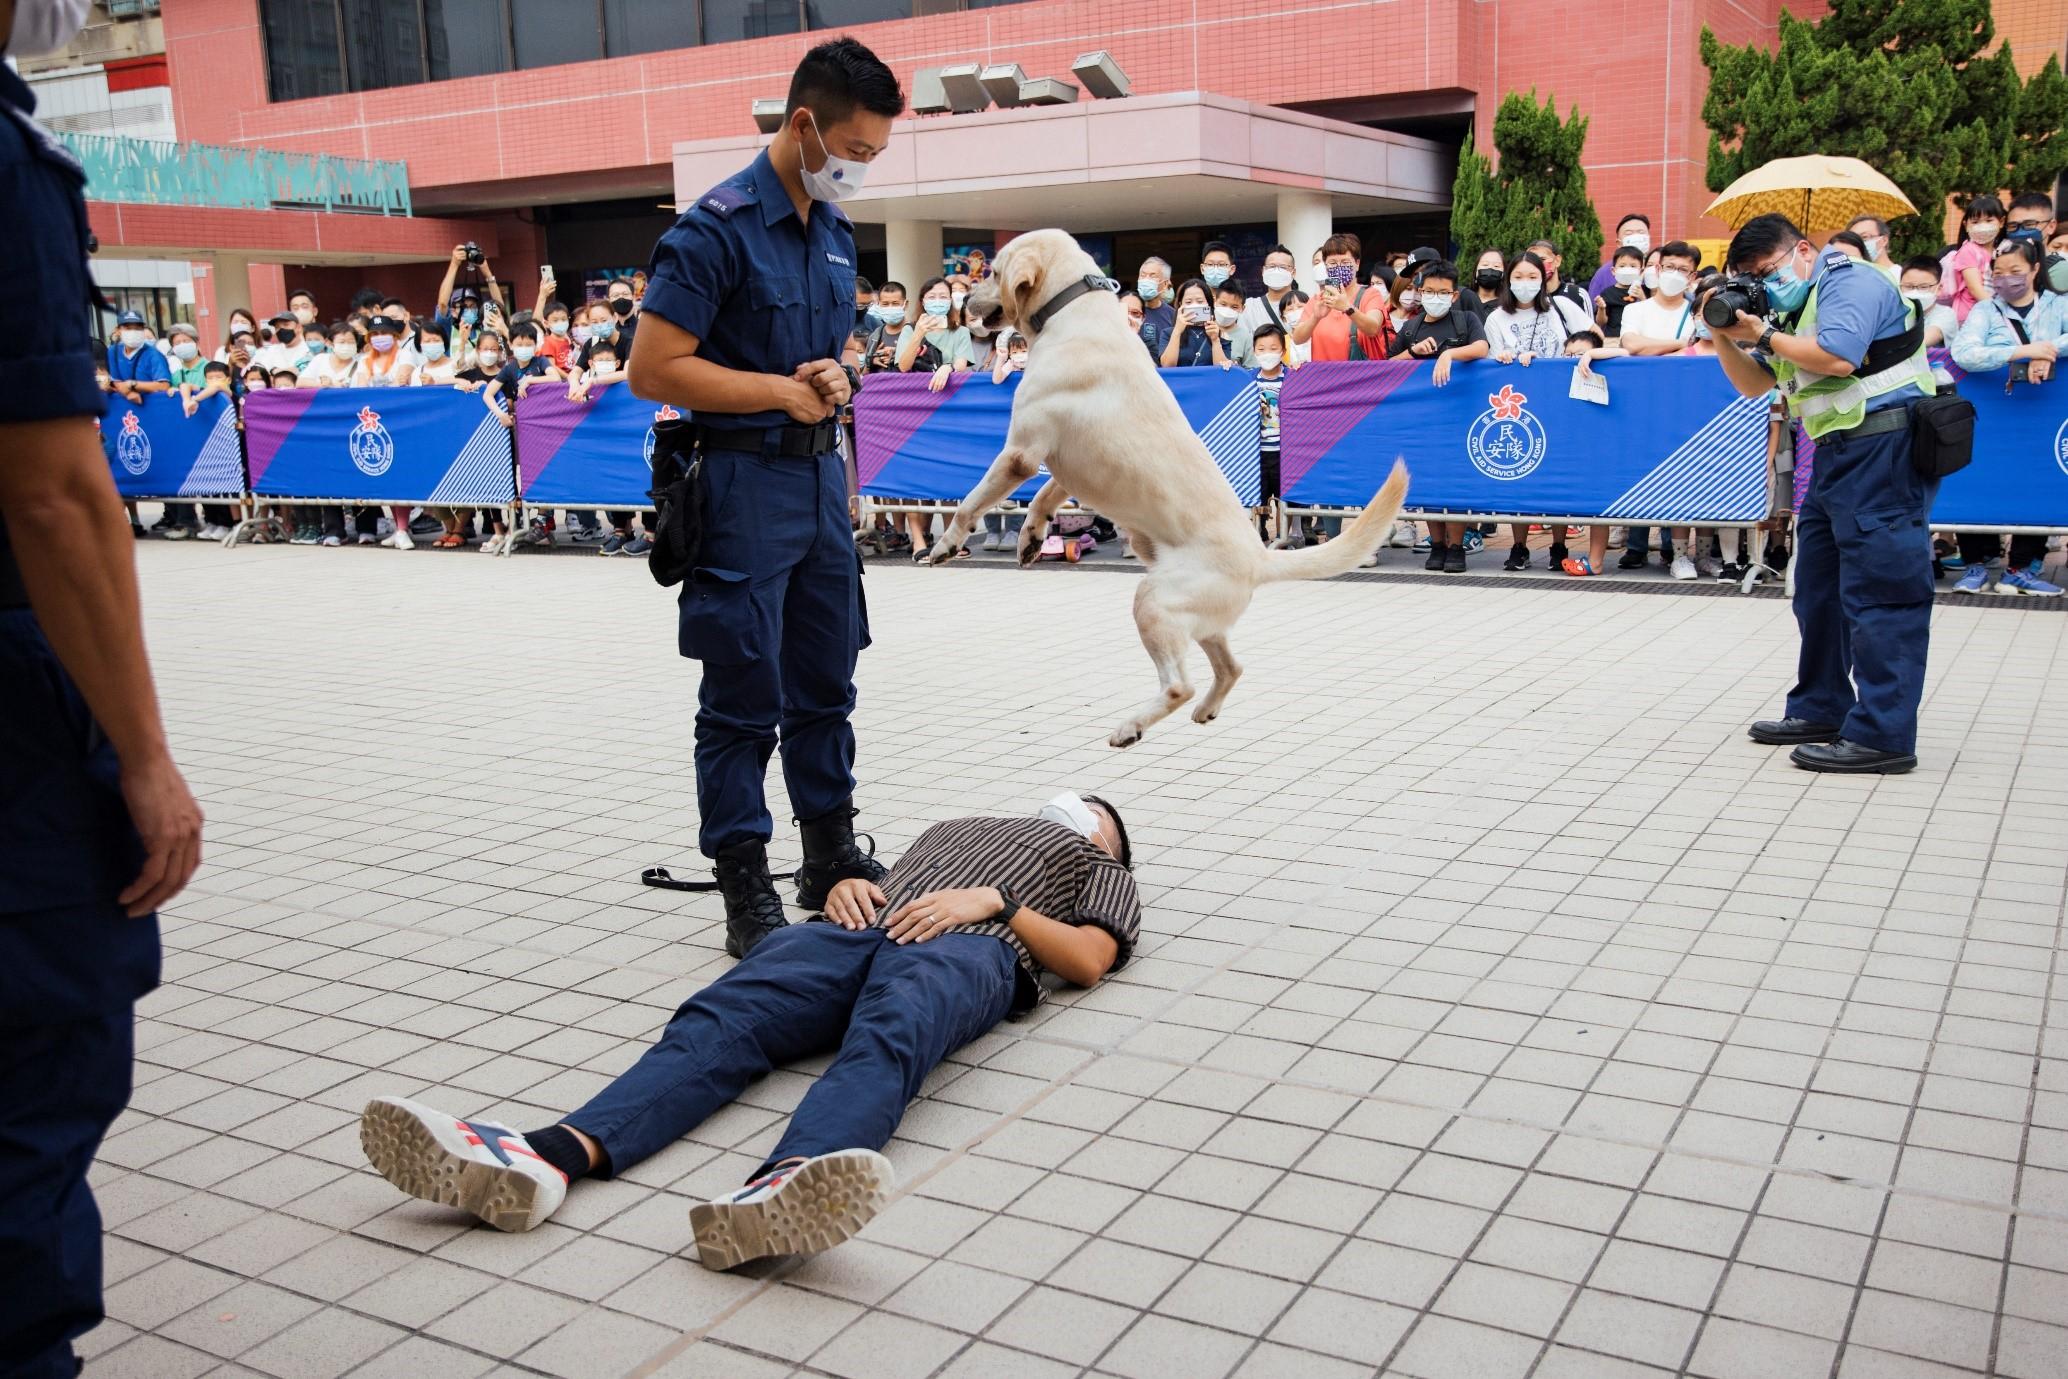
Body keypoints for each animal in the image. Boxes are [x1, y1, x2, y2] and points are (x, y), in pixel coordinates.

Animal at [938, 229, 1406, 744]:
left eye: (994, 272)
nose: (966, 305)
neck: (1072, 306)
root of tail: (1260, 558)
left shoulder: (1022, 451)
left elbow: (972, 502)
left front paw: (946, 544)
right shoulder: (1062, 461)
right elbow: (1046, 496)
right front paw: (1031, 537)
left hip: (1153, 602)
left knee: (1180, 684)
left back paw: (1132, 727)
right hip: (1200, 620)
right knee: (1231, 667)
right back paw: (1206, 709)